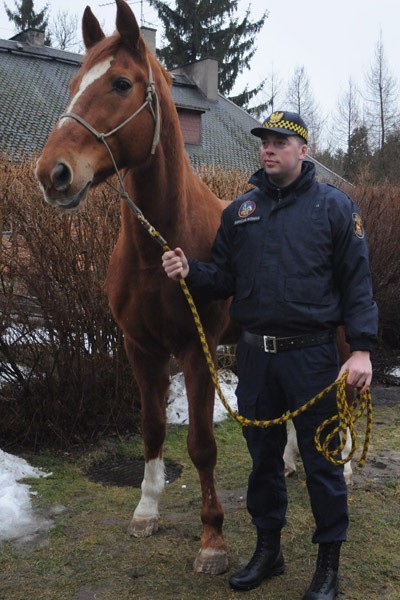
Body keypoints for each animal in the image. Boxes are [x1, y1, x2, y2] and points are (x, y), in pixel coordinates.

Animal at [37, 0, 233, 576]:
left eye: (121, 83)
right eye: (75, 83)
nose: (52, 173)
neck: (157, 251)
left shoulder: (196, 350)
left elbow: (202, 443)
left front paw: (212, 538)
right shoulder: (140, 349)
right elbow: (150, 427)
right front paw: (146, 510)